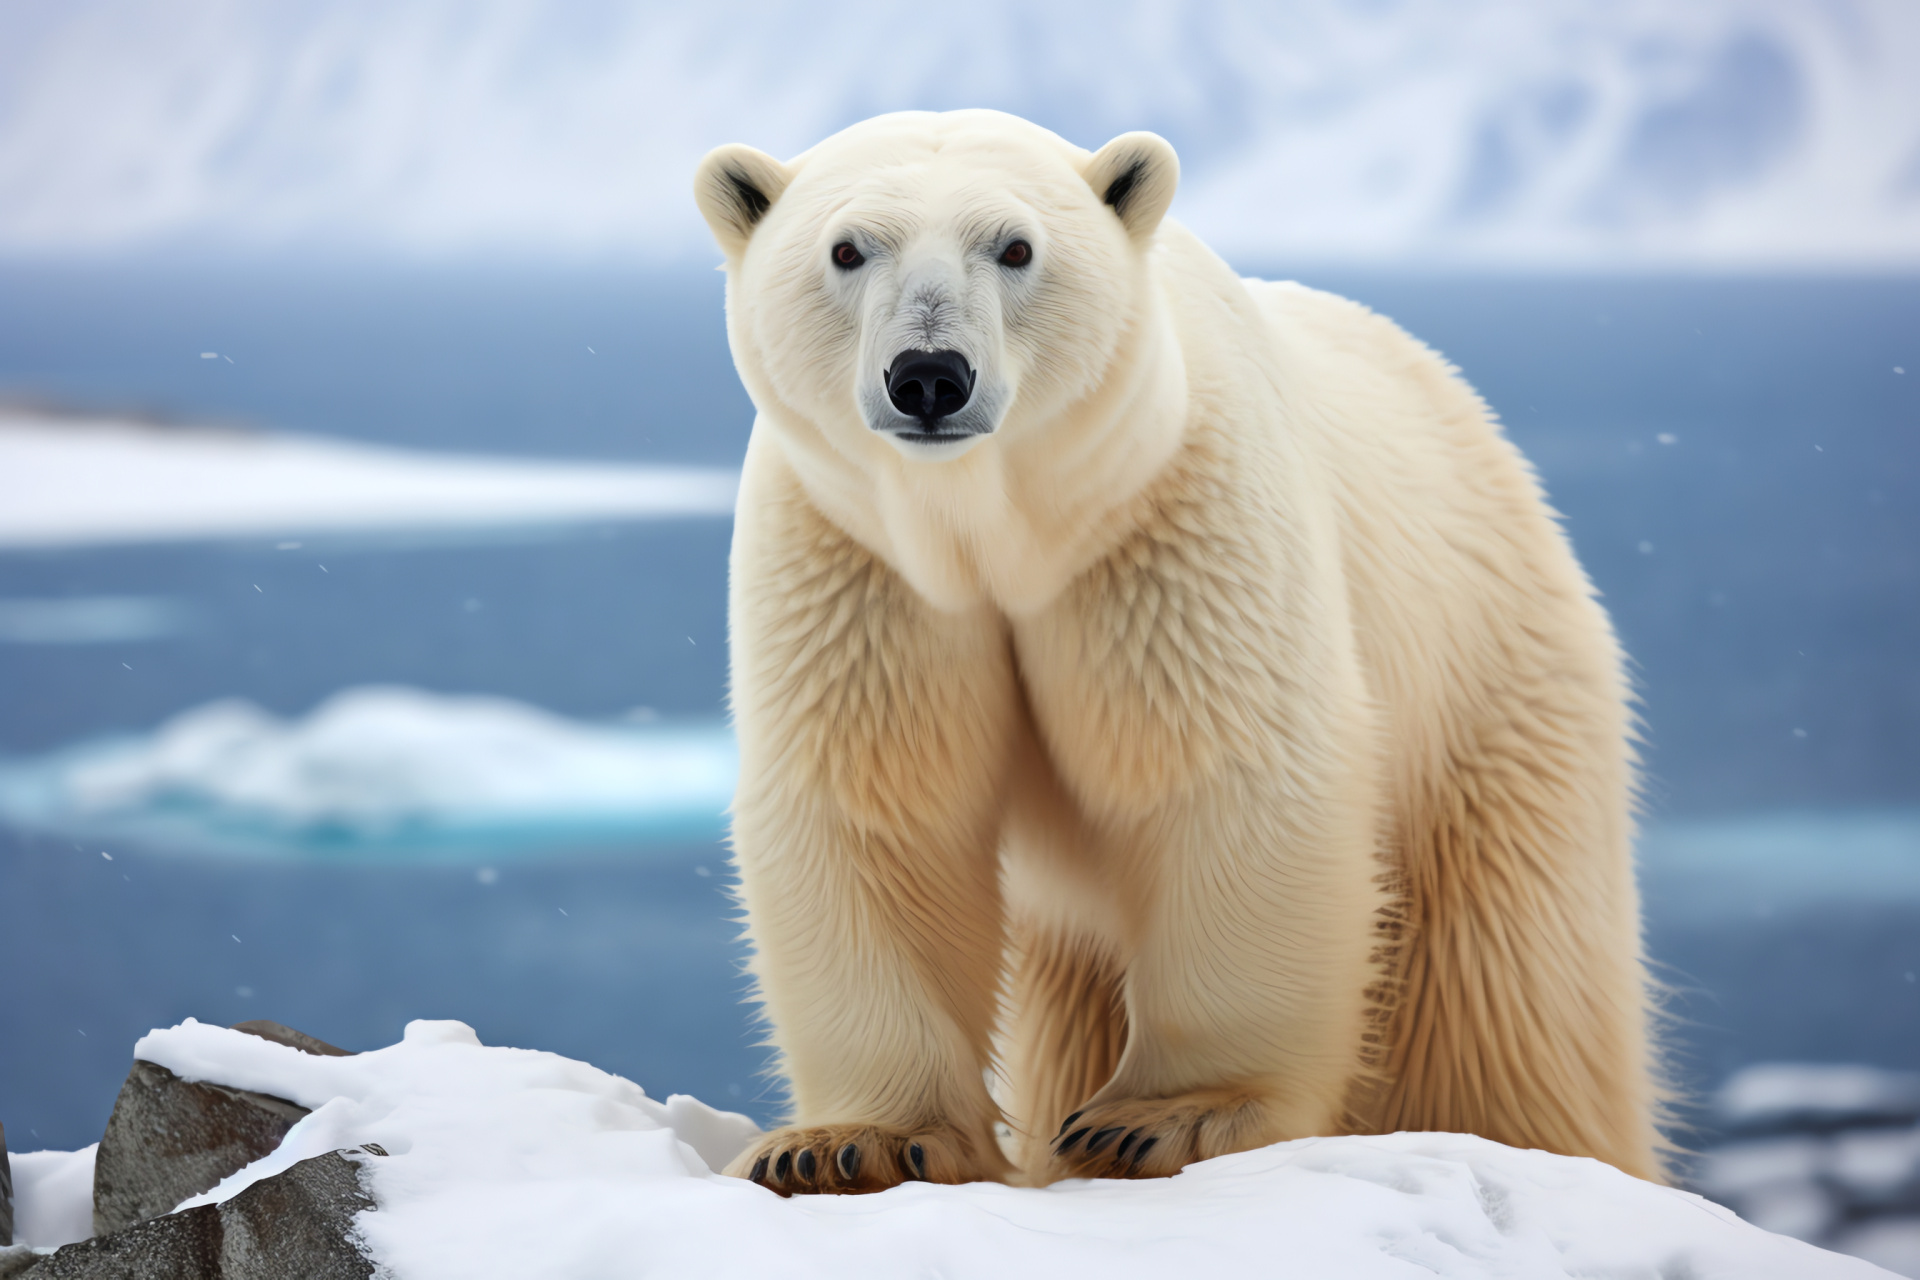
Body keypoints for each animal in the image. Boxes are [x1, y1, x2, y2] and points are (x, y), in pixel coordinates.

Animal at [695, 112, 1666, 1205]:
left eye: (1016, 246)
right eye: (848, 249)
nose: (930, 375)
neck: (999, 531)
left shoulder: (1169, 529)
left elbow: (1225, 776)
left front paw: (1162, 1119)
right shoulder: (860, 565)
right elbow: (878, 808)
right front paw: (841, 1144)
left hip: (1490, 688)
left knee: (1506, 1003)